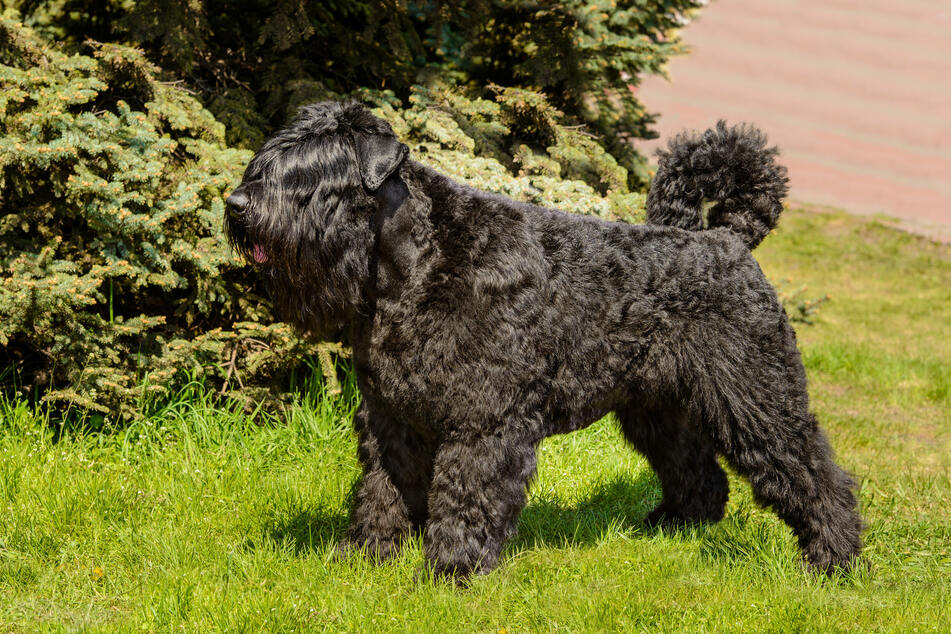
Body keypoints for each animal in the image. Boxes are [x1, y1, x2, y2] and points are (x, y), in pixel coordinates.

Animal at [225, 101, 864, 580]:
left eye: (313, 174)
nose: (236, 204)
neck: (417, 261)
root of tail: (728, 238)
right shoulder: (390, 415)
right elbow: (383, 489)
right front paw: (364, 556)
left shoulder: (482, 419)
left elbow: (466, 495)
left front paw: (451, 573)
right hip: (655, 408)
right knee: (697, 471)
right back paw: (674, 527)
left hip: (756, 396)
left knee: (811, 469)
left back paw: (833, 559)